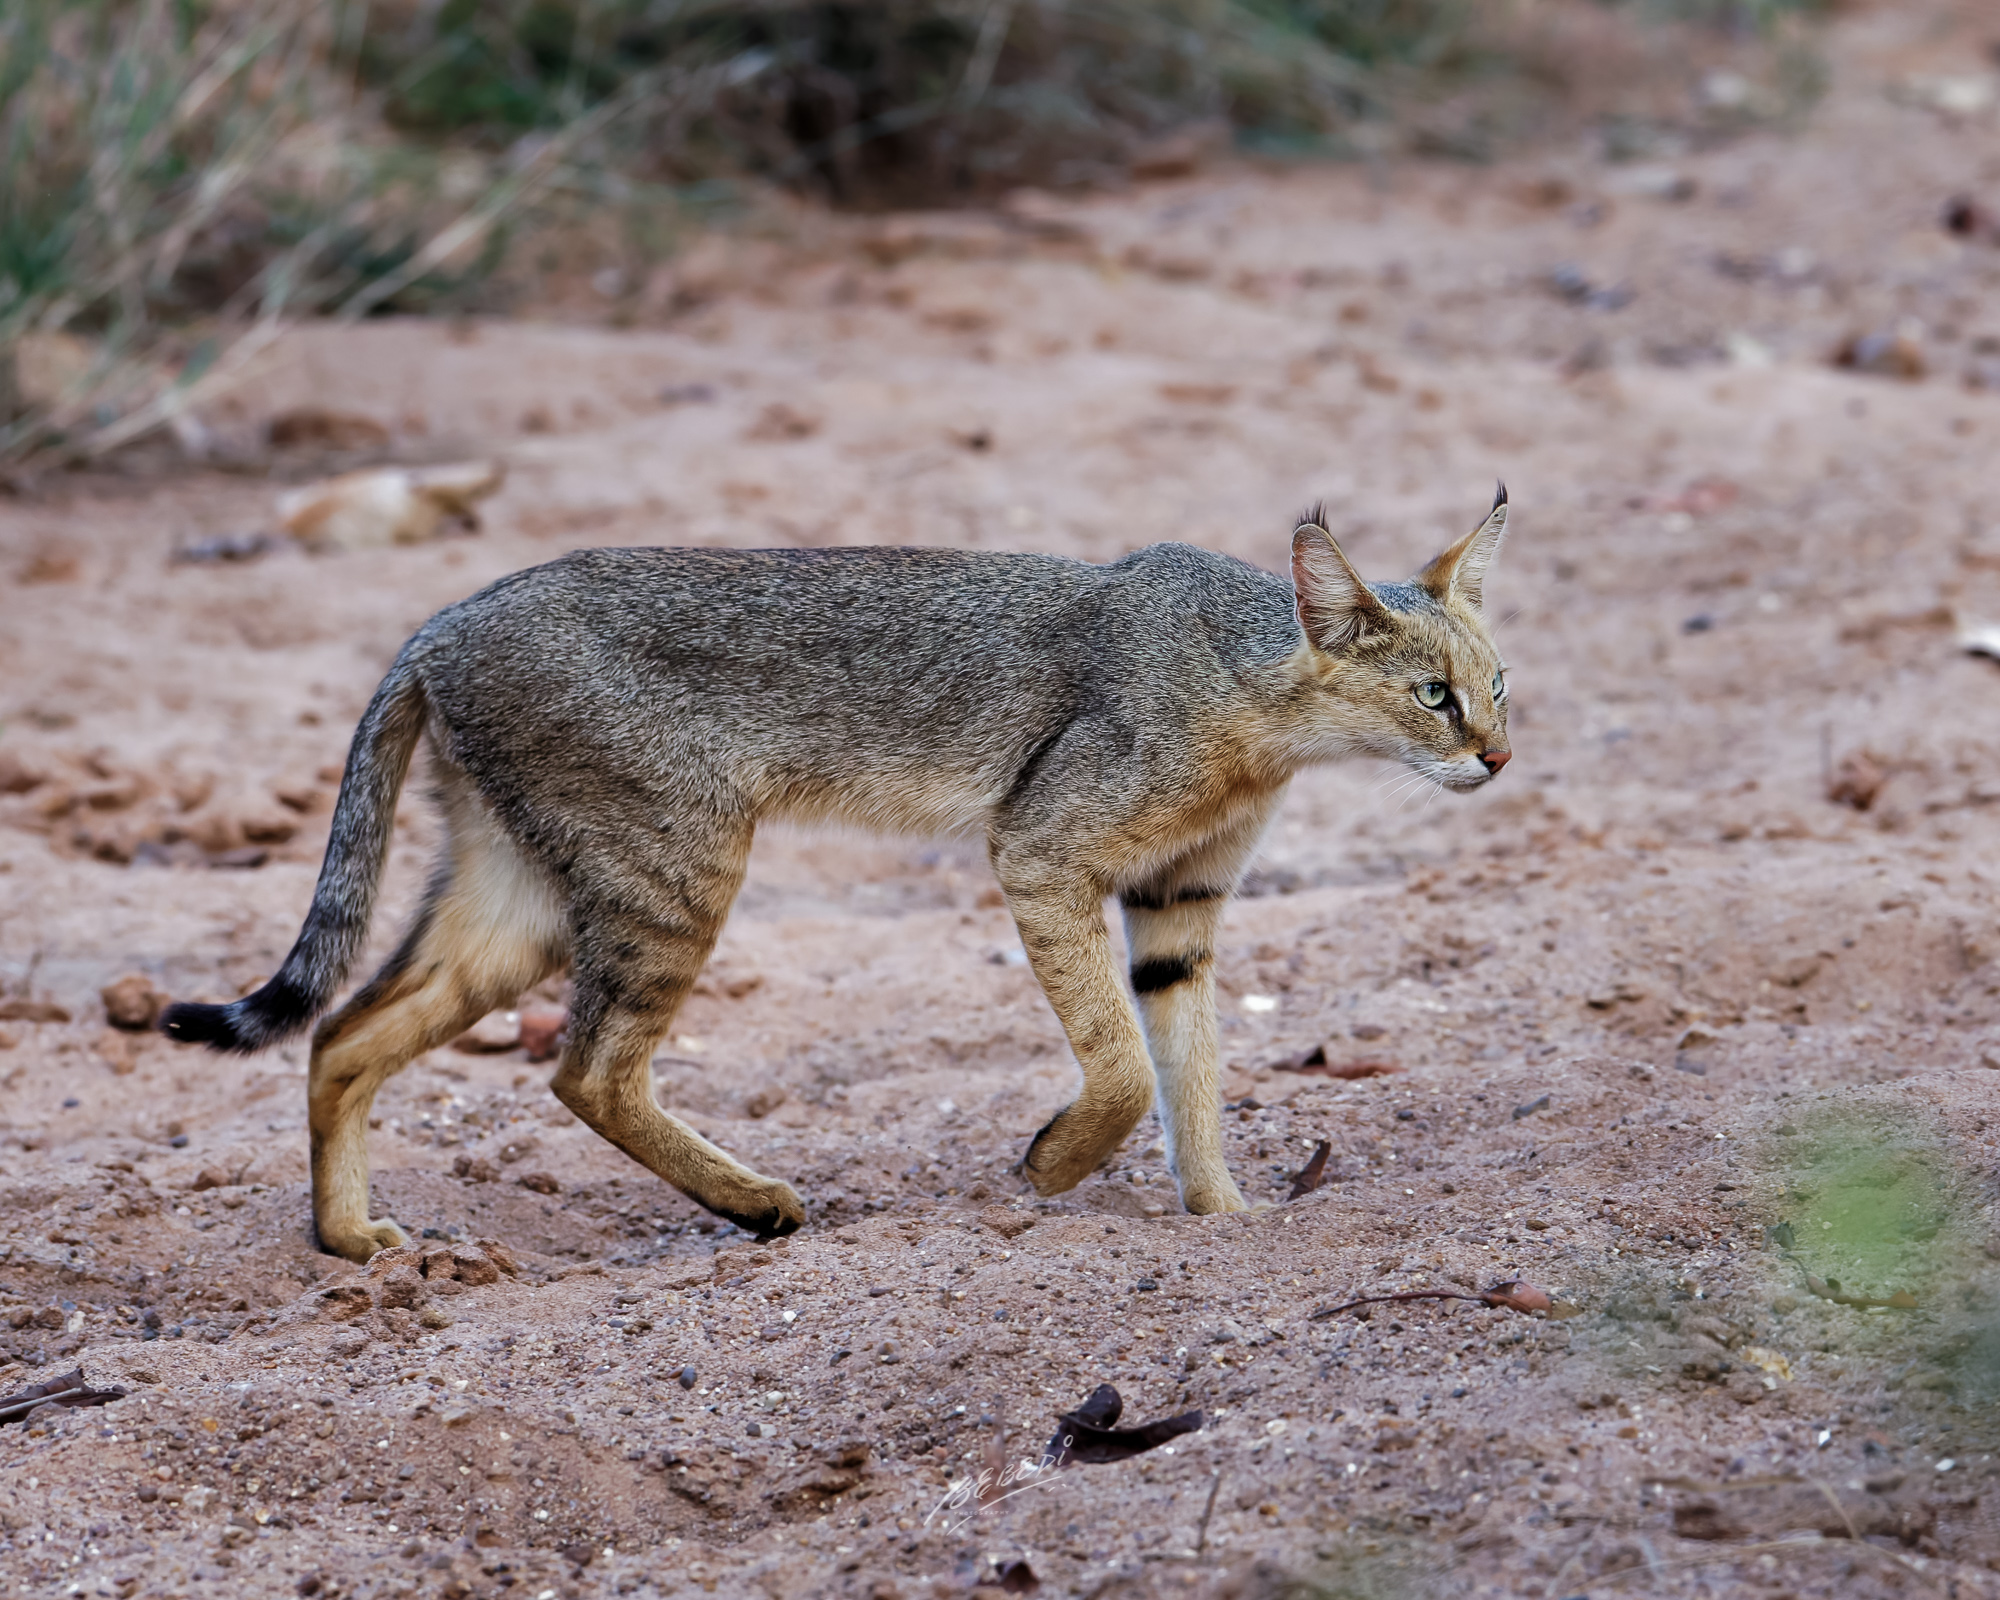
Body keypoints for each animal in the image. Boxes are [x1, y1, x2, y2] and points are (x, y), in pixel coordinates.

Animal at [162, 489, 1512, 1263]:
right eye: (1429, 695)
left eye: (1497, 683)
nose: (1498, 755)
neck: (1254, 706)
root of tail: (437, 623)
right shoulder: (1041, 852)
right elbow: (1126, 1067)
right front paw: (1054, 1166)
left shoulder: (1178, 902)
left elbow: (1192, 1071)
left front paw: (1223, 1215)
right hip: (677, 869)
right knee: (584, 1069)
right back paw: (756, 1204)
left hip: (520, 900)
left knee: (342, 1032)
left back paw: (346, 1239)